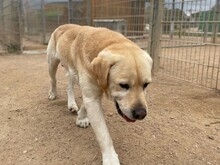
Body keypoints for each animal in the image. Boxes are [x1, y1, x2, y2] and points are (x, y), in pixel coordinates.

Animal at [47, 23, 152, 164]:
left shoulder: (93, 92)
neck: (107, 43)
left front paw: (81, 118)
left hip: (71, 71)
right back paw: (53, 93)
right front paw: (111, 159)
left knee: (69, 86)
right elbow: (104, 134)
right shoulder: (92, 96)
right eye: (123, 85)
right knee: (53, 80)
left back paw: (72, 105)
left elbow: (85, 103)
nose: (141, 114)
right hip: (52, 63)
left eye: (146, 84)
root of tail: (63, 25)